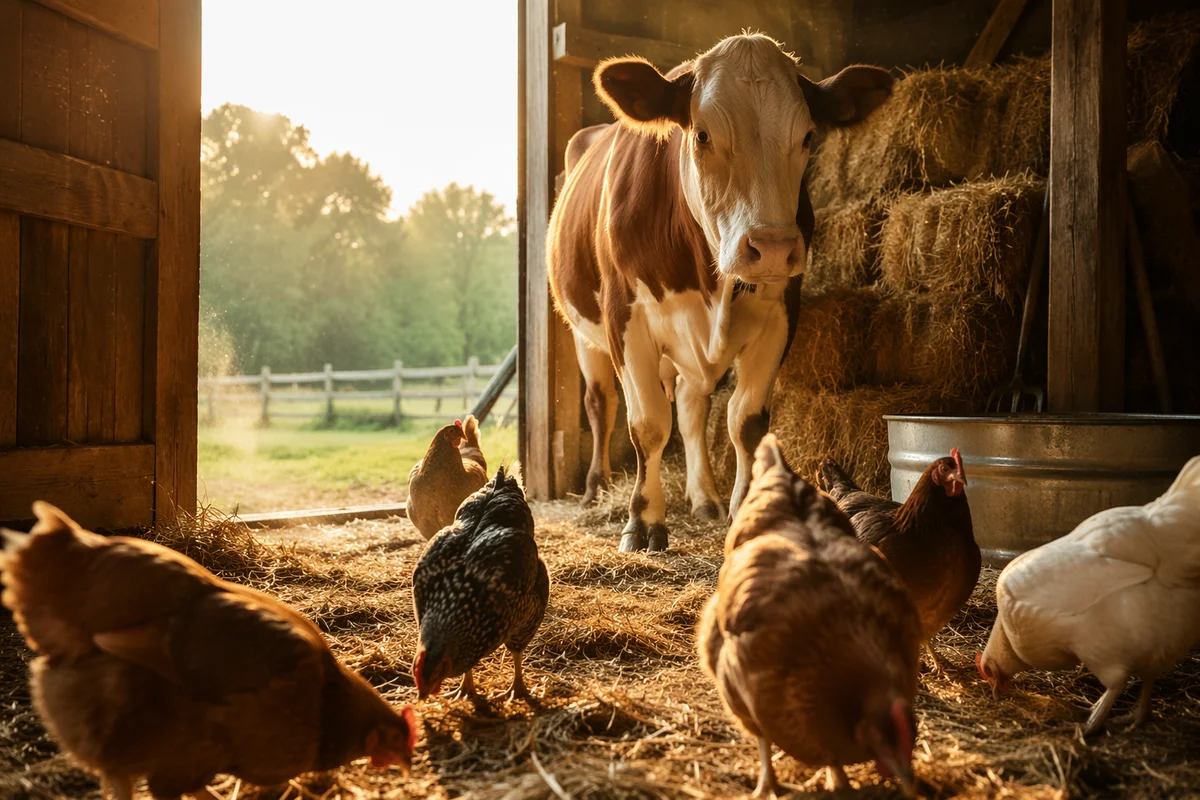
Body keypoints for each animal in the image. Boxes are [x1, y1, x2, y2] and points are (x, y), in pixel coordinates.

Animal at [547, 33, 893, 553]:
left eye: (808, 137)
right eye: (702, 135)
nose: (772, 248)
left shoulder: (781, 315)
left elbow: (745, 421)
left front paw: (744, 510)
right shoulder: (625, 316)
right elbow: (647, 423)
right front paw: (643, 522)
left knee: (692, 407)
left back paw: (704, 498)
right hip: (584, 332)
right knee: (600, 403)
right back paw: (595, 489)